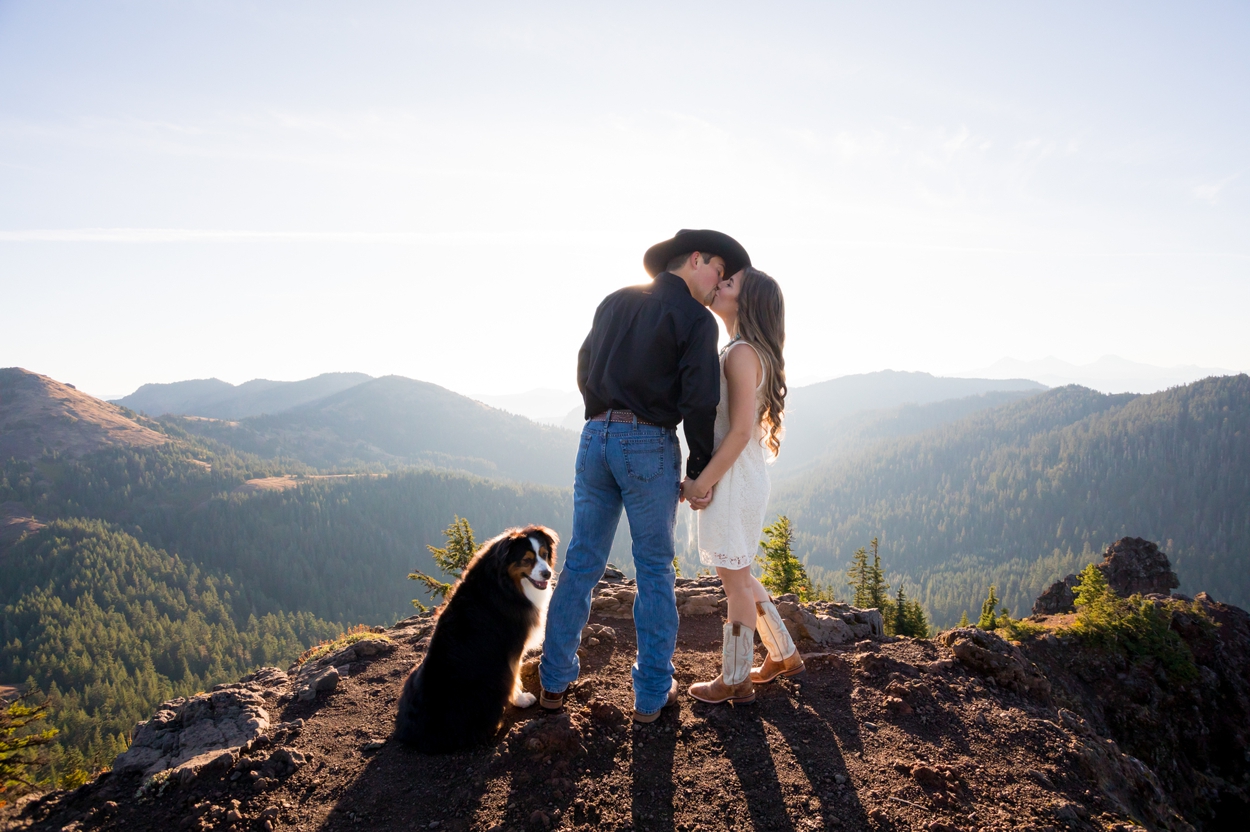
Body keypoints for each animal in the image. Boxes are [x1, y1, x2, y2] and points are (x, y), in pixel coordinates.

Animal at [395, 522, 557, 749]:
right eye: (526, 559)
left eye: (544, 554)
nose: (547, 574)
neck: (504, 584)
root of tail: (412, 735)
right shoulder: (511, 649)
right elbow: (514, 675)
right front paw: (521, 699)